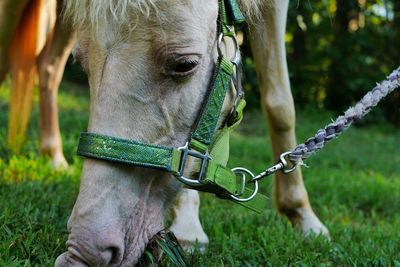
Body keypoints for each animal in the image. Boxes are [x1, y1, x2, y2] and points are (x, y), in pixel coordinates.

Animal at [56, 1, 330, 266]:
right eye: (82, 63)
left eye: (184, 65)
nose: (82, 253)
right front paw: (188, 229)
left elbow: (280, 106)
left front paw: (304, 217)